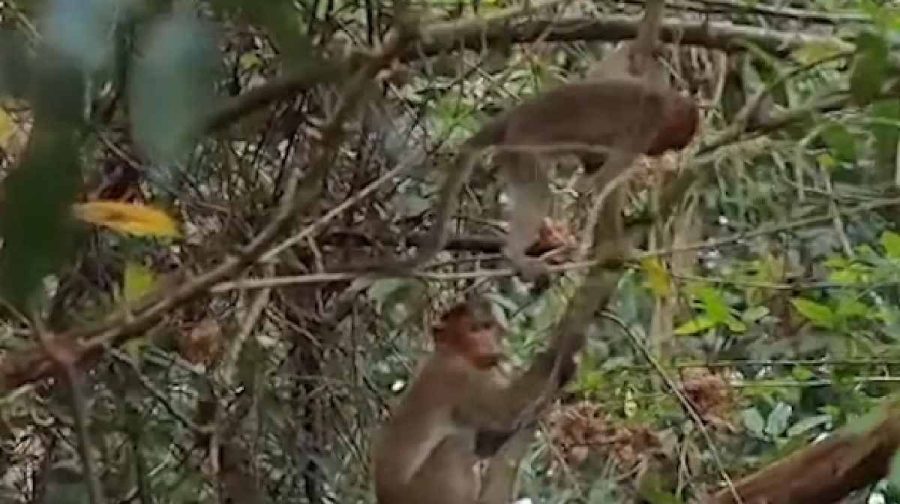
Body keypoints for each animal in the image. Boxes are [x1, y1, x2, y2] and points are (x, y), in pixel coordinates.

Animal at [371, 297, 582, 504]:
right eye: (473, 330)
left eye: (487, 326)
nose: (487, 342)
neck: (454, 352)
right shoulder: (458, 378)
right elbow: (507, 410)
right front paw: (563, 345)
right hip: (422, 493)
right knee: (455, 444)